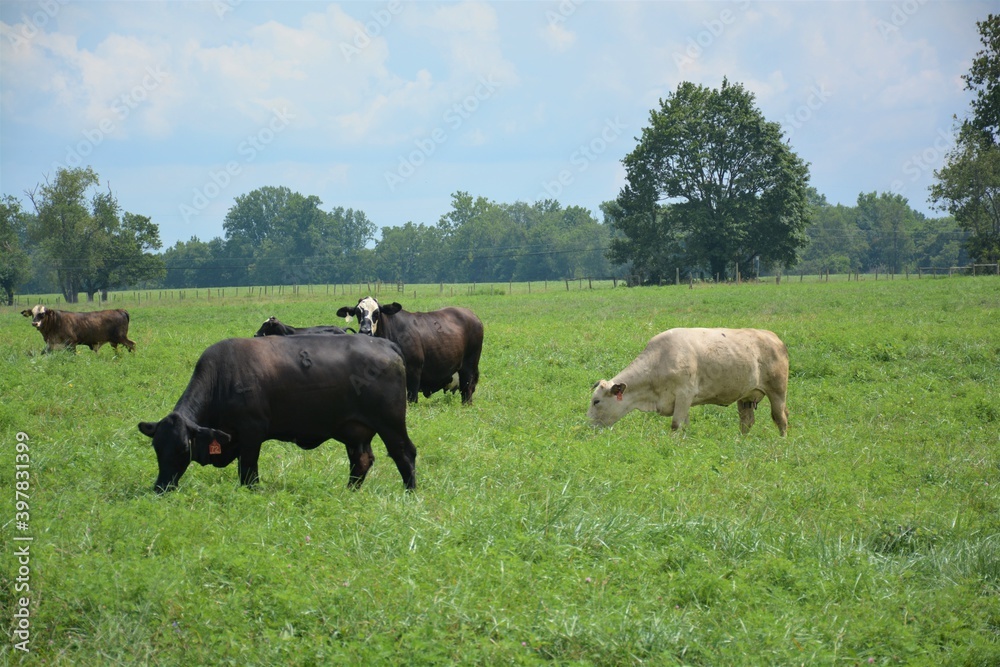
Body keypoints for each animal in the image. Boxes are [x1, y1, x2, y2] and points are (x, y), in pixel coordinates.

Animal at [135, 336, 416, 494]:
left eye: (184, 449)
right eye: (157, 448)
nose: (161, 487)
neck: (221, 378)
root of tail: (384, 343)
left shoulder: (251, 433)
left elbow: (248, 471)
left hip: (390, 423)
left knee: (404, 453)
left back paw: (409, 492)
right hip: (356, 431)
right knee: (361, 460)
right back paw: (349, 493)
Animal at [334, 298, 482, 404]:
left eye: (377, 312)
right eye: (358, 312)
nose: (365, 330)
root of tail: (471, 314)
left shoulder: (414, 370)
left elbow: (412, 398)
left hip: (469, 366)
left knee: (467, 390)